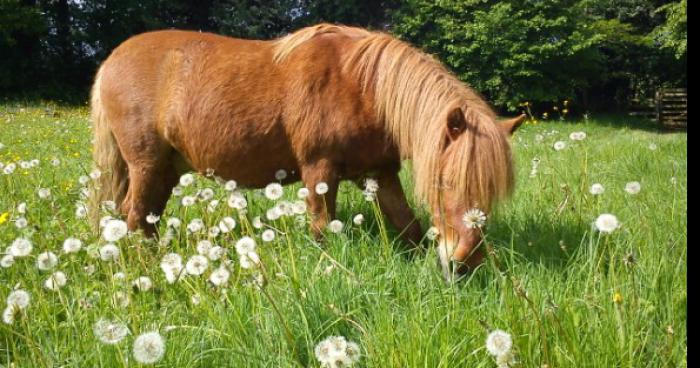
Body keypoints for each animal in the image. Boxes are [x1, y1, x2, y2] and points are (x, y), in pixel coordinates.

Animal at [89, 23, 524, 278]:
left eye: (491, 192)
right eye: (443, 181)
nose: (463, 264)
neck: (362, 86)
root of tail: (111, 59)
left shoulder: (379, 173)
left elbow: (409, 227)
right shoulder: (320, 171)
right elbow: (321, 229)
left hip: (165, 170)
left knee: (144, 218)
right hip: (146, 165)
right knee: (133, 217)